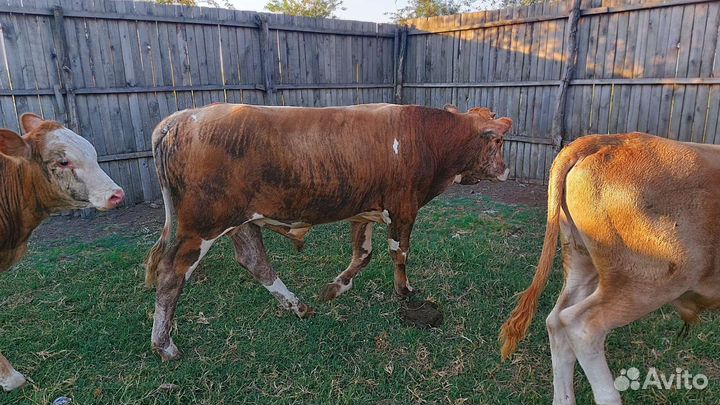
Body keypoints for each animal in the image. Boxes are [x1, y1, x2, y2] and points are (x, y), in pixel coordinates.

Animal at [144, 103, 513, 360]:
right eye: (498, 141)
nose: (507, 170)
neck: (426, 137)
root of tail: (182, 117)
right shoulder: (404, 207)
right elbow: (399, 252)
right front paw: (404, 290)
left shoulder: (364, 211)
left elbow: (363, 254)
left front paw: (336, 287)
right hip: (203, 225)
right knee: (172, 272)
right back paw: (165, 345)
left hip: (241, 221)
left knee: (254, 261)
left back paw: (298, 307)